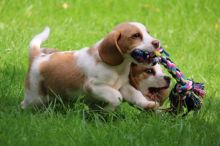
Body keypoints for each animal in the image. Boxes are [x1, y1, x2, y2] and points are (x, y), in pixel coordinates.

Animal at [21, 22, 162, 110]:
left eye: (148, 32)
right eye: (136, 36)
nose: (157, 42)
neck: (119, 68)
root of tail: (37, 56)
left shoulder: (124, 86)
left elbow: (136, 94)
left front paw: (148, 104)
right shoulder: (94, 86)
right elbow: (117, 97)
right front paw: (107, 110)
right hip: (35, 97)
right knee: (24, 105)